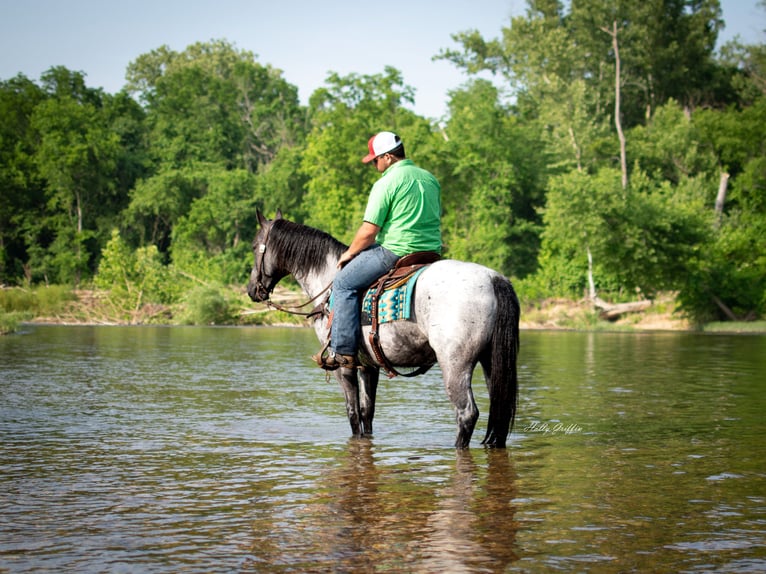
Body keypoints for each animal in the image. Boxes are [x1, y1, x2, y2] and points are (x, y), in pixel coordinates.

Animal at [248, 212, 520, 450]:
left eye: (253, 246)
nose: (252, 290)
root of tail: (493, 278)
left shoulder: (344, 366)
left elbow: (353, 414)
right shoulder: (368, 365)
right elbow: (367, 413)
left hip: (455, 365)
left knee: (466, 414)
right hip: (490, 362)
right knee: (499, 411)